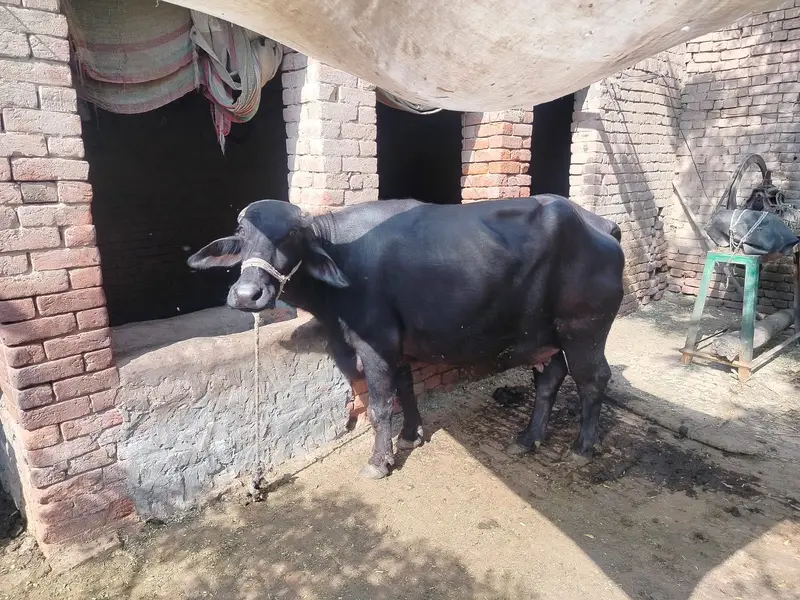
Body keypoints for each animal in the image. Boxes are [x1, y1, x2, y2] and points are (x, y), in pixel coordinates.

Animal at [188, 194, 625, 479]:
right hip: (549, 334)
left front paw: (379, 462)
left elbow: (382, 405)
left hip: (584, 330)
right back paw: (529, 438)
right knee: (550, 378)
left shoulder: (375, 344)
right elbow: (407, 388)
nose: (248, 295)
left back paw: (581, 448)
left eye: (293, 233)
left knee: (593, 380)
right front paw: (411, 436)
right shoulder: (397, 344)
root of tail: (601, 226)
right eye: (241, 230)